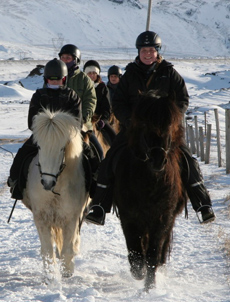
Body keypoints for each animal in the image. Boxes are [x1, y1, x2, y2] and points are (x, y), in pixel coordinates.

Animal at [22, 108, 88, 278]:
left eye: (61, 148)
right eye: (39, 147)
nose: (47, 182)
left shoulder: (71, 218)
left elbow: (67, 249)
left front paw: (67, 273)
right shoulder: (41, 218)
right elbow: (47, 251)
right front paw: (50, 277)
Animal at [113, 91, 187, 292]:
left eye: (169, 125)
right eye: (145, 125)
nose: (158, 160)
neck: (150, 183)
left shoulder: (162, 218)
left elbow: (153, 255)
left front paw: (149, 286)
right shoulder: (129, 217)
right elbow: (136, 253)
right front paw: (138, 274)